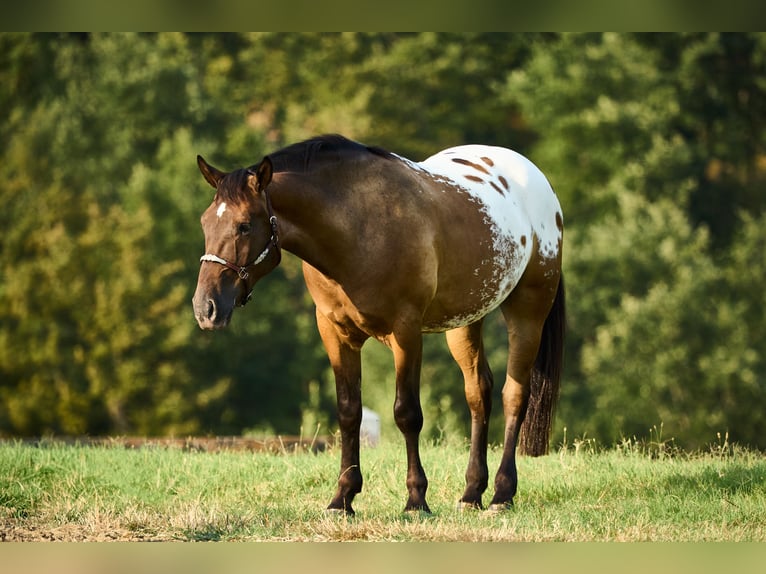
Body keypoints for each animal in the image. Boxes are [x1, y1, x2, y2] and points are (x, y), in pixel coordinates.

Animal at [192, 136, 564, 516]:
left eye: (244, 225)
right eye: (205, 223)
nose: (206, 307)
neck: (357, 226)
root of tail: (538, 181)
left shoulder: (406, 330)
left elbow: (407, 413)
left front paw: (416, 499)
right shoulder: (335, 333)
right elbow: (348, 412)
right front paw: (343, 497)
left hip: (528, 310)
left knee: (514, 396)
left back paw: (502, 494)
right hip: (464, 322)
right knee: (478, 393)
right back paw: (472, 493)